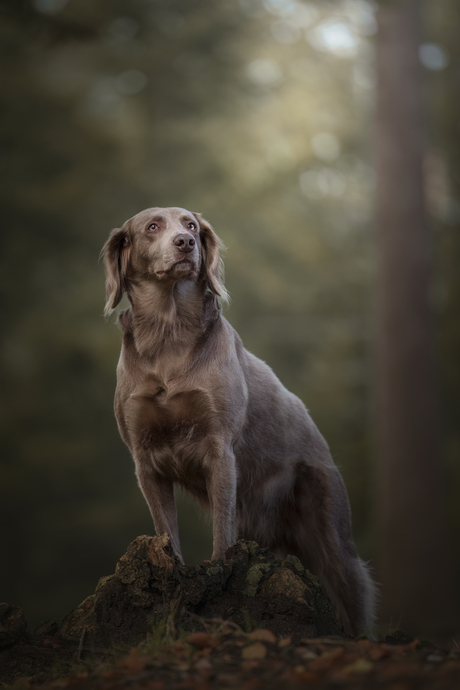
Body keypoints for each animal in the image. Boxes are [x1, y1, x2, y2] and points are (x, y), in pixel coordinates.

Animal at [102, 206, 376, 636]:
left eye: (191, 224)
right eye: (152, 226)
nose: (186, 243)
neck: (168, 332)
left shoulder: (220, 450)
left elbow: (221, 528)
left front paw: (217, 568)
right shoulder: (145, 461)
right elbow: (166, 529)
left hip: (329, 525)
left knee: (352, 590)